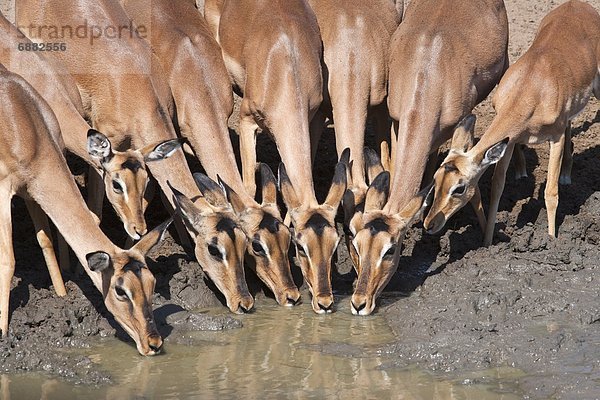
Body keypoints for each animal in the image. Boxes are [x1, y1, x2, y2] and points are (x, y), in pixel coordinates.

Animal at [0, 68, 168, 356]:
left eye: (152, 283)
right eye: (121, 291)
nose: (153, 343)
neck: (24, 125)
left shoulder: (31, 189)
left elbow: (45, 239)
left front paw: (62, 296)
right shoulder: (4, 189)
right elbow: (8, 260)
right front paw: (3, 331)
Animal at [346, 0, 506, 314]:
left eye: (390, 249)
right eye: (356, 245)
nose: (359, 303)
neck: (428, 75)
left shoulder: (462, 122)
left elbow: (474, 183)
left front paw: (486, 238)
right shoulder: (398, 122)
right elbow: (394, 164)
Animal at [422, 0, 600, 245]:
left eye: (459, 188)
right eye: (436, 179)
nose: (429, 224)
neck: (531, 88)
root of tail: (580, 5)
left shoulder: (555, 138)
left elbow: (550, 193)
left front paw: (551, 239)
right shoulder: (511, 139)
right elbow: (497, 186)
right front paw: (487, 243)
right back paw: (566, 174)